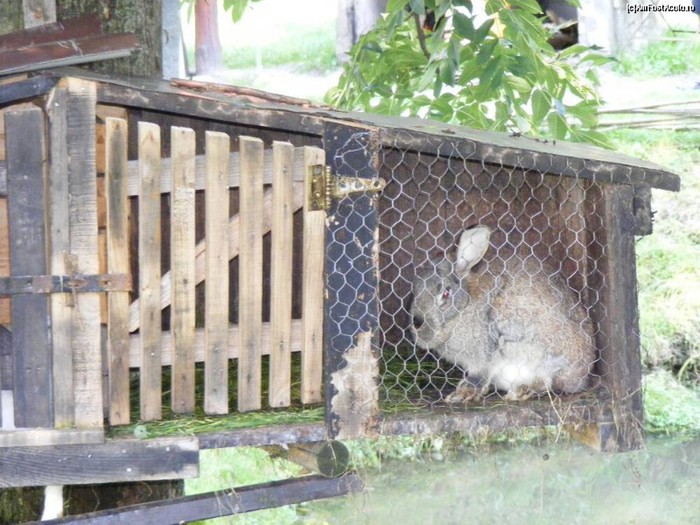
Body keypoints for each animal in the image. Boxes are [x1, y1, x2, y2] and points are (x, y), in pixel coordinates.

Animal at [410, 225, 596, 402]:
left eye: (445, 293)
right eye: (415, 289)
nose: (417, 323)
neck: (464, 307)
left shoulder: (483, 354)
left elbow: (480, 374)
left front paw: (462, 394)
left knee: (545, 381)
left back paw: (520, 392)